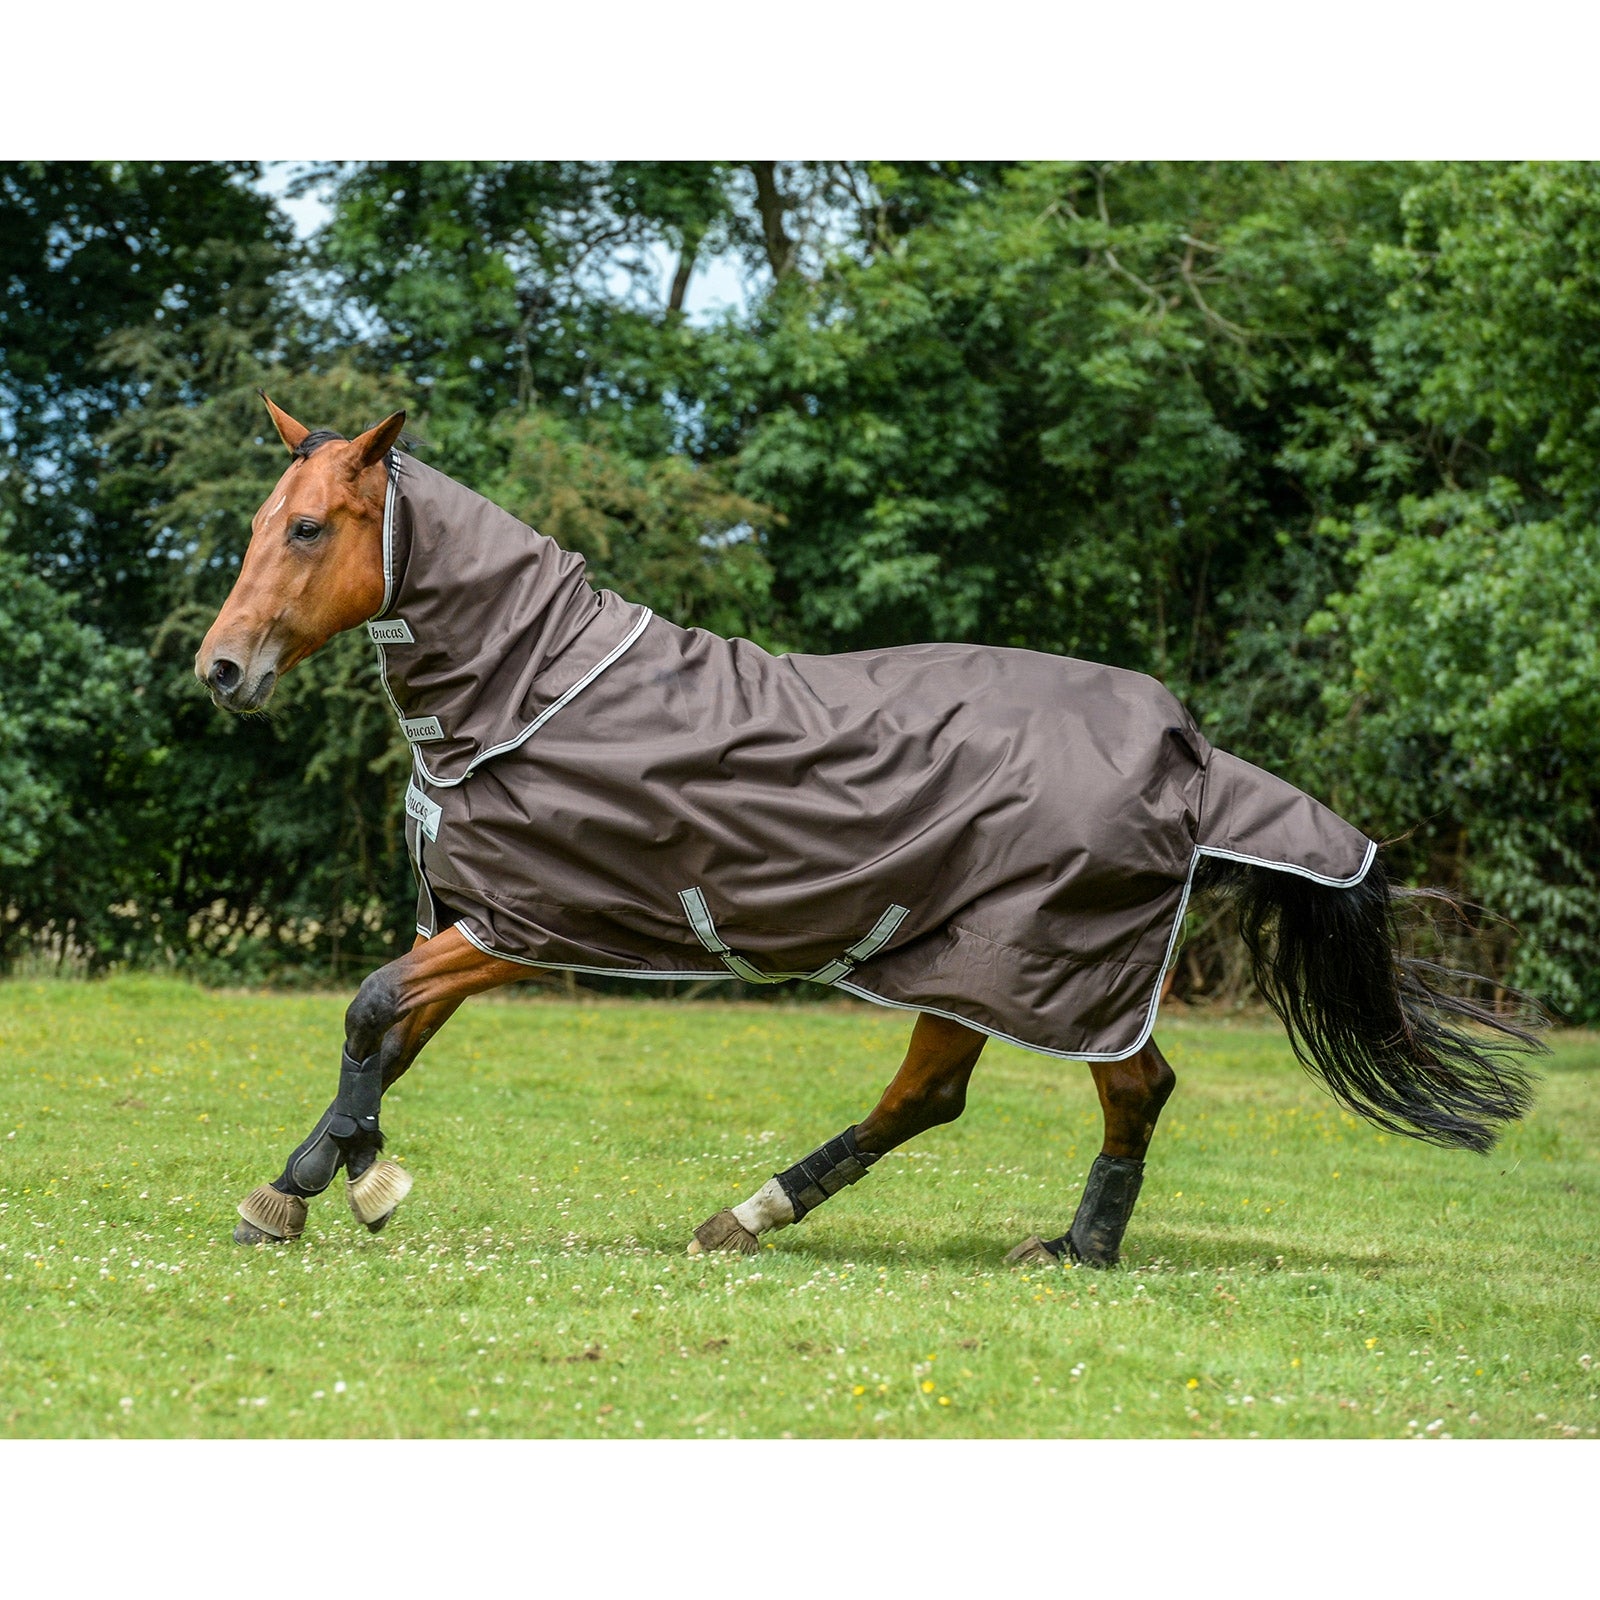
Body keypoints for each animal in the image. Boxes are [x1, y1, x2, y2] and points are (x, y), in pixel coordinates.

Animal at [195, 396, 1539, 1266]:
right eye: (261, 521)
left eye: (309, 527)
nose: (220, 670)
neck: (538, 687)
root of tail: (1191, 750)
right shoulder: (481, 921)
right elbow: (387, 1041)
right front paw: (308, 1180)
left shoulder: (524, 925)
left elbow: (371, 1007)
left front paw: (340, 1185)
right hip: (966, 964)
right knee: (936, 1098)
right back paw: (754, 1215)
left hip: (1041, 964)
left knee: (1126, 1083)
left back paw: (1072, 1248)